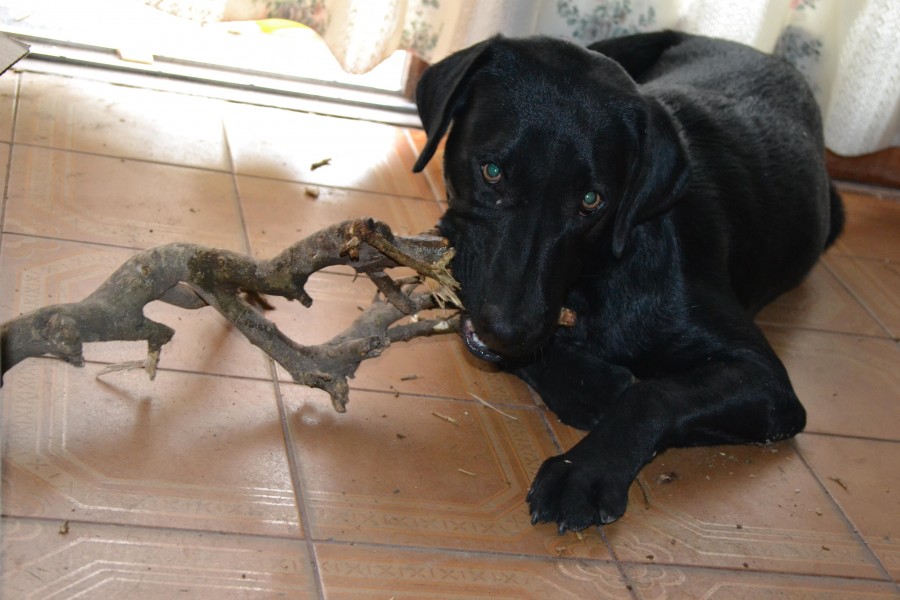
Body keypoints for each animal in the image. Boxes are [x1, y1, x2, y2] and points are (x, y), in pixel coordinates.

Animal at [412, 30, 848, 532]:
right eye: (493, 172)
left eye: (590, 200)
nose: (506, 329)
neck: (596, 281)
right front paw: (592, 383)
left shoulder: (765, 378)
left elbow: (653, 394)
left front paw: (582, 471)